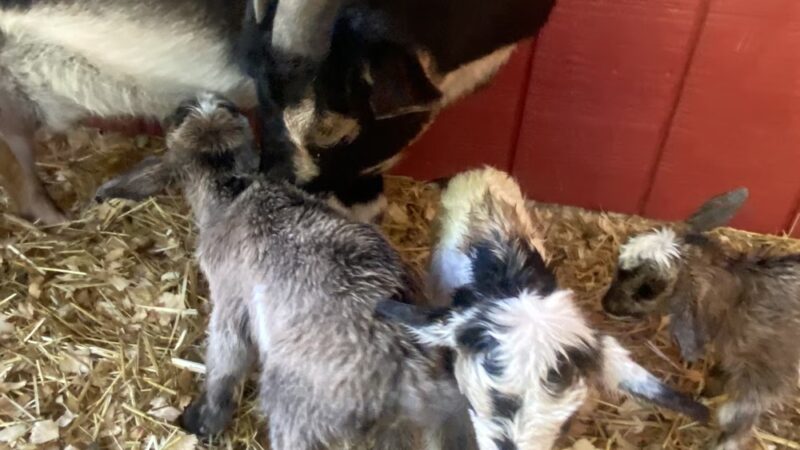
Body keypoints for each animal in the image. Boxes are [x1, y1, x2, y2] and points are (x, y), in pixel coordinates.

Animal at [94, 91, 479, 450]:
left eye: (177, 114)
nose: (202, 97)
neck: (233, 192)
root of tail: (413, 375)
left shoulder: (231, 297)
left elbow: (226, 359)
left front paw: (203, 421)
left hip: (295, 409)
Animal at [602, 188, 800, 450]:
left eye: (647, 290)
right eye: (618, 266)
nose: (606, 304)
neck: (740, 300)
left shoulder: (767, 373)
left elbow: (737, 415)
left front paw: (724, 441)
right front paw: (708, 390)